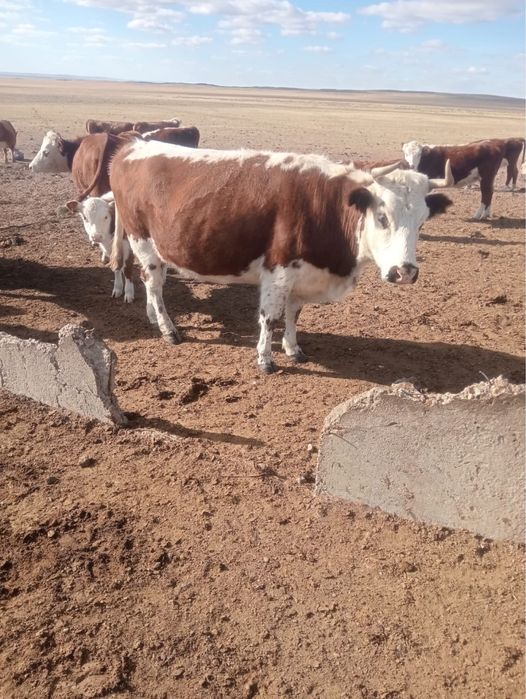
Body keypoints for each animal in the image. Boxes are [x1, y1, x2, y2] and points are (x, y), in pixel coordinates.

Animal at [109, 140, 453, 373]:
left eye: (422, 221)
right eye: (382, 217)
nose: (405, 271)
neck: (326, 207)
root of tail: (132, 145)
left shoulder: (302, 273)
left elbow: (294, 313)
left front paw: (293, 348)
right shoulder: (279, 270)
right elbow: (270, 316)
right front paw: (265, 359)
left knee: (153, 284)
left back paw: (153, 316)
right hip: (143, 241)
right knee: (154, 284)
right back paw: (168, 330)